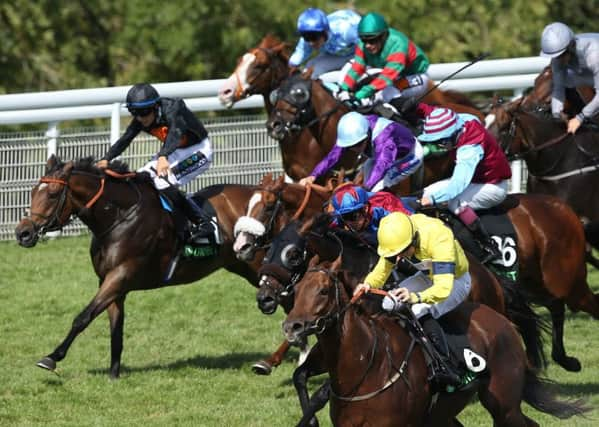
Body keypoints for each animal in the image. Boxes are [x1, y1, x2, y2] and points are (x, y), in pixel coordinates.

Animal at [14, 157, 266, 378]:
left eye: (52, 194)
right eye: (33, 192)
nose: (22, 233)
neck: (120, 216)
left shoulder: (120, 275)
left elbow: (83, 317)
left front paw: (52, 357)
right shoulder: (111, 282)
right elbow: (116, 329)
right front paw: (114, 375)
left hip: (257, 263)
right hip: (241, 266)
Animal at [284, 258, 584, 427]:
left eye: (323, 290)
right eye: (296, 290)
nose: (292, 326)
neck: (366, 366)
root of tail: (502, 320)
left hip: (503, 405)